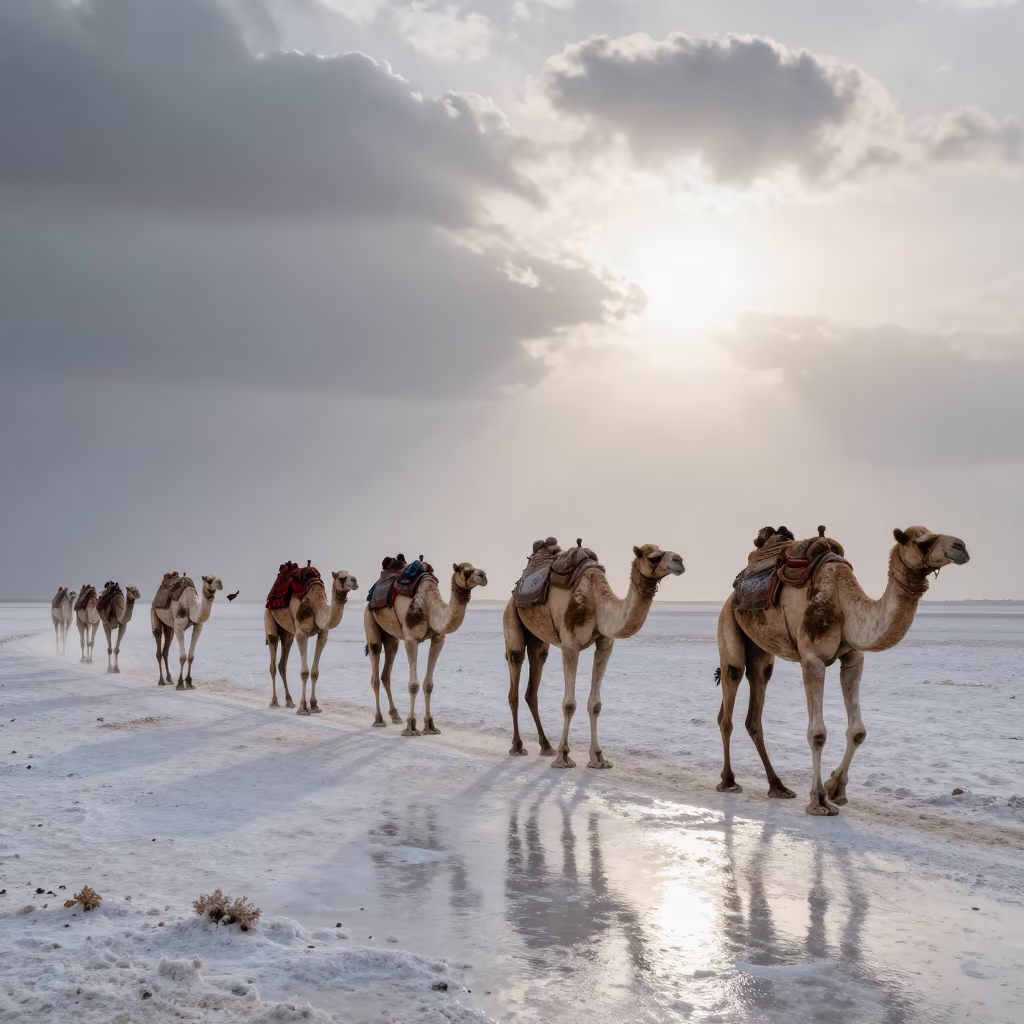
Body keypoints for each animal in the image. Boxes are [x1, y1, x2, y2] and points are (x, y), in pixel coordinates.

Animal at [266, 569, 358, 714]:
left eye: (351, 574)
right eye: (342, 578)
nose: (355, 581)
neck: (316, 604)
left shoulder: (323, 634)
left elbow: (315, 672)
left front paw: (314, 706)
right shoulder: (301, 634)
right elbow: (304, 672)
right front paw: (303, 708)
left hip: (288, 634)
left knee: (282, 664)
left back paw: (289, 701)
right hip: (270, 621)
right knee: (273, 665)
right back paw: (274, 702)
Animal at [364, 560, 488, 735]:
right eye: (463, 570)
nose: (483, 575)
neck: (430, 606)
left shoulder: (438, 639)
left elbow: (429, 685)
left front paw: (430, 726)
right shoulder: (410, 639)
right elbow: (413, 685)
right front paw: (411, 726)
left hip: (391, 638)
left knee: (386, 673)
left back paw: (395, 715)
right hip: (370, 622)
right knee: (375, 671)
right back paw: (379, 719)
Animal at [504, 541, 685, 768]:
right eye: (653, 558)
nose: (680, 561)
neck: (597, 600)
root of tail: (515, 591)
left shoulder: (605, 645)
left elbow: (595, 704)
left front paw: (598, 757)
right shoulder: (570, 645)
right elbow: (569, 704)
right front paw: (563, 757)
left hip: (538, 641)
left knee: (533, 685)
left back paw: (546, 746)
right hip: (511, 618)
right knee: (514, 681)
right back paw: (518, 747)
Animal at [716, 526, 969, 816]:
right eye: (923, 543)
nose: (961, 547)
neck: (843, 602)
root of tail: (733, 594)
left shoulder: (853, 658)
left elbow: (858, 731)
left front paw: (836, 789)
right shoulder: (812, 659)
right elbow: (817, 733)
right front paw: (818, 801)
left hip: (761, 650)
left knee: (756, 703)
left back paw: (778, 786)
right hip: (728, 625)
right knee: (730, 696)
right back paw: (728, 781)